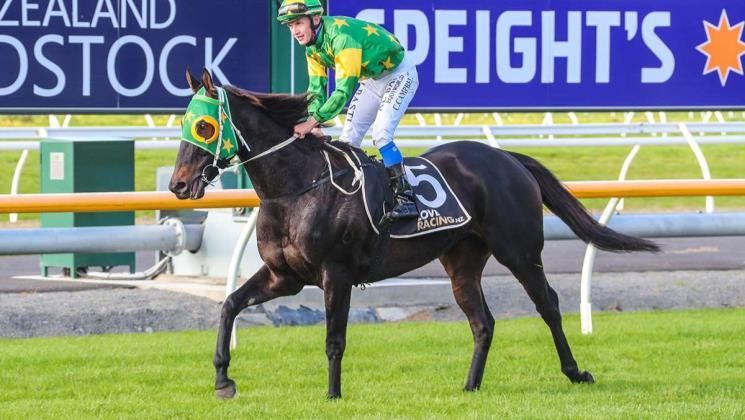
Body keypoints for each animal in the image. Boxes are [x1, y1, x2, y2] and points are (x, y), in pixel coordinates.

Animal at [170, 69, 659, 400]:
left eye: (203, 126)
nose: (178, 185)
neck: (298, 186)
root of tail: (509, 159)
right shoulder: (283, 277)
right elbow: (230, 305)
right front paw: (223, 379)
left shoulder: (336, 274)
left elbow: (334, 339)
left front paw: (332, 395)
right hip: (462, 261)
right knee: (482, 321)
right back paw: (469, 387)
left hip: (519, 251)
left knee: (549, 305)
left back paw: (576, 371)